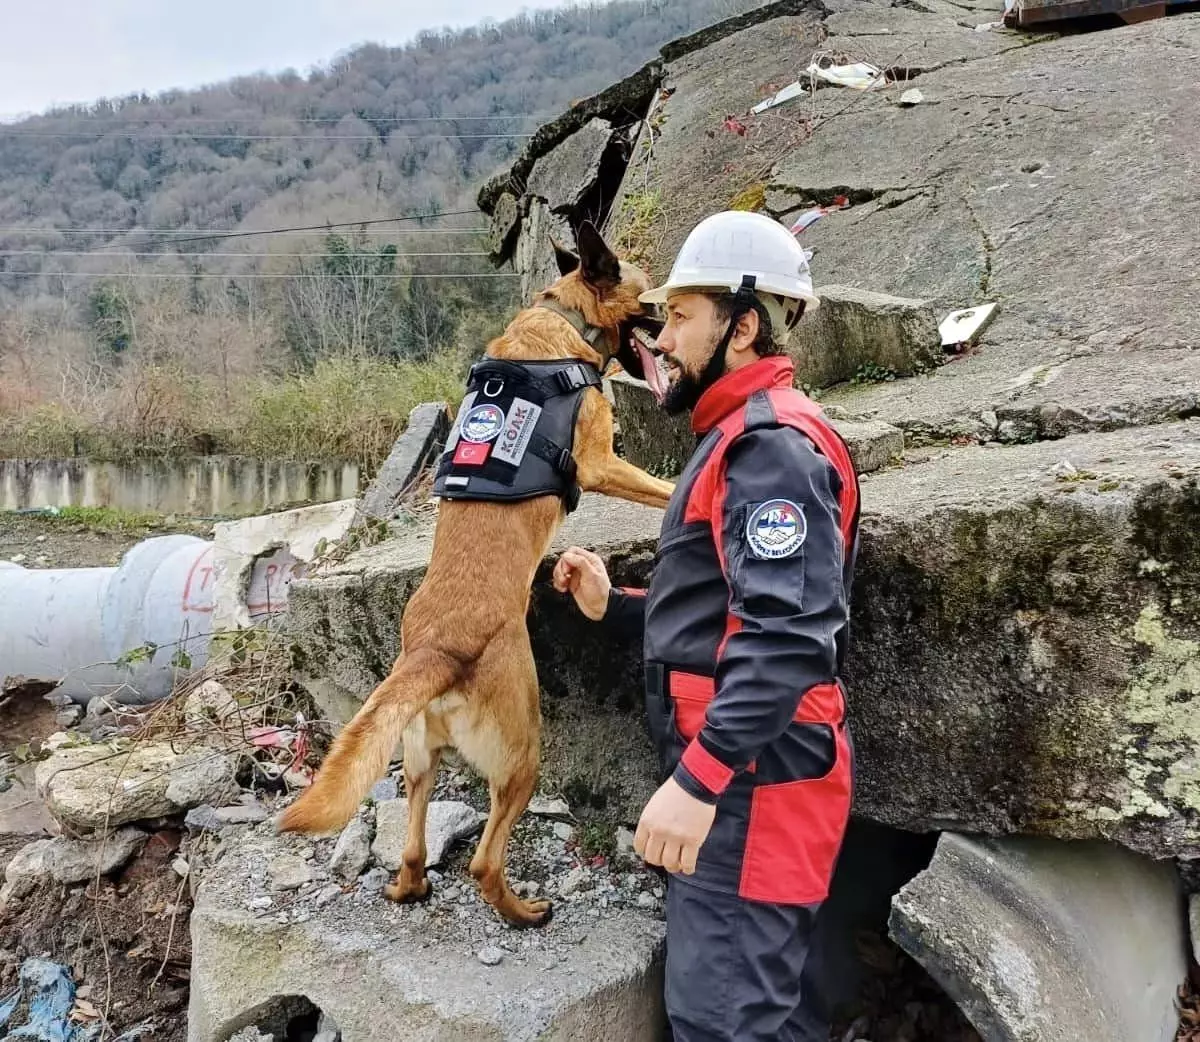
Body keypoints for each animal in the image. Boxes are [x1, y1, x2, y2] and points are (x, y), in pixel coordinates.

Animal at [278, 223, 676, 921]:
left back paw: (410, 887)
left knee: (413, 844)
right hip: (521, 756)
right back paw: (524, 914)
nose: (669, 312)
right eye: (645, 289)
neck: (560, 318)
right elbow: (663, 486)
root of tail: (433, 650)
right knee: (486, 861)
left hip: (419, 760)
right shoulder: (603, 464)